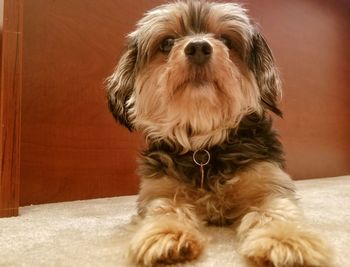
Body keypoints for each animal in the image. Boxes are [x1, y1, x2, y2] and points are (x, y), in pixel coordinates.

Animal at [105, 1, 332, 266]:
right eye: (167, 43)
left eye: (225, 40)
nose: (198, 47)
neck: (205, 145)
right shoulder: (160, 188)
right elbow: (164, 207)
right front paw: (165, 235)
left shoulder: (267, 182)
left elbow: (277, 210)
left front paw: (286, 240)